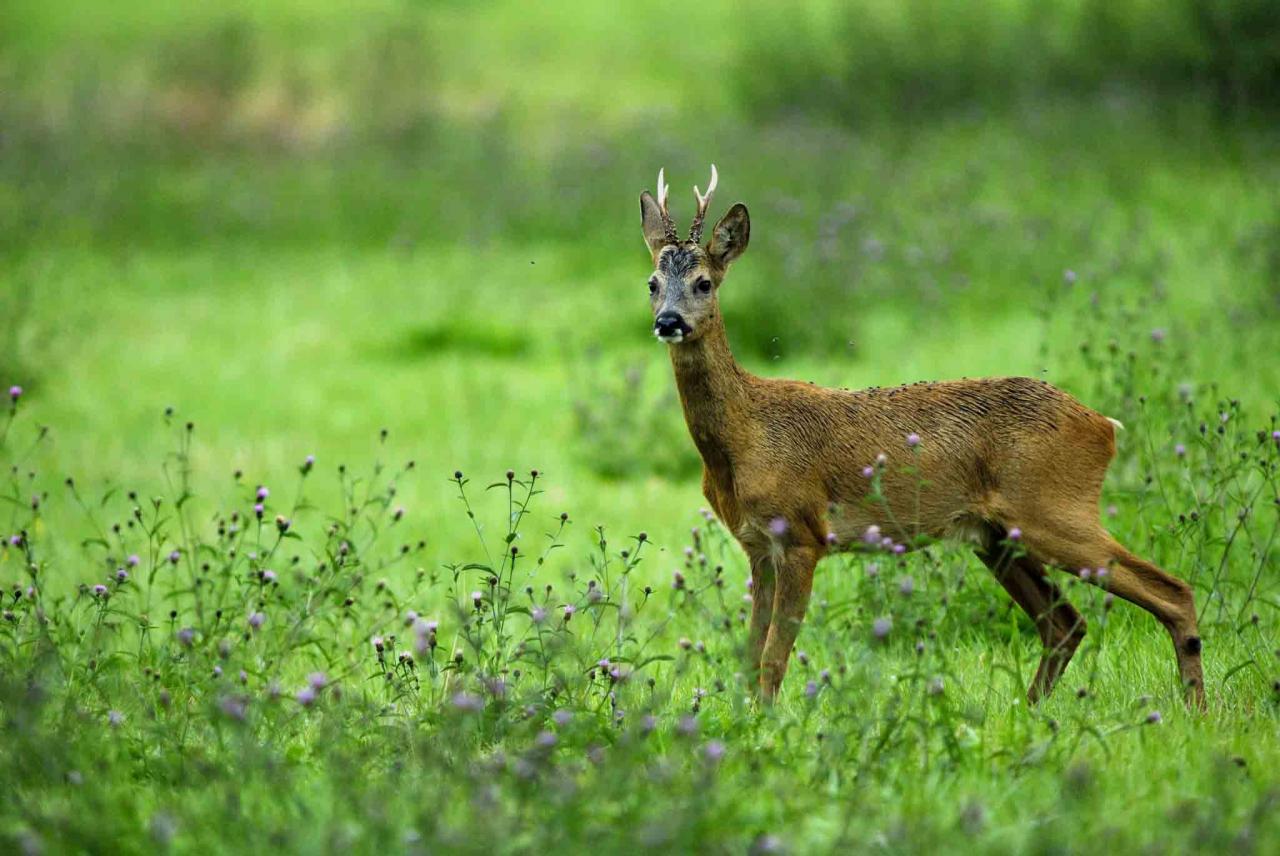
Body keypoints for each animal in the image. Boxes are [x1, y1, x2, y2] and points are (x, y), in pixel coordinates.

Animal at [640, 165, 1208, 706]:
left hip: (1054, 510)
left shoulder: (803, 534)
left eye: (704, 283)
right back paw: (1031, 711)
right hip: (997, 536)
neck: (744, 438)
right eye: (652, 282)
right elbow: (750, 654)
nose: (668, 321)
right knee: (1065, 622)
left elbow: (773, 659)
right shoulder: (757, 545)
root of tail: (1104, 425)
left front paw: (768, 724)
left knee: (1172, 591)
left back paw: (1195, 710)